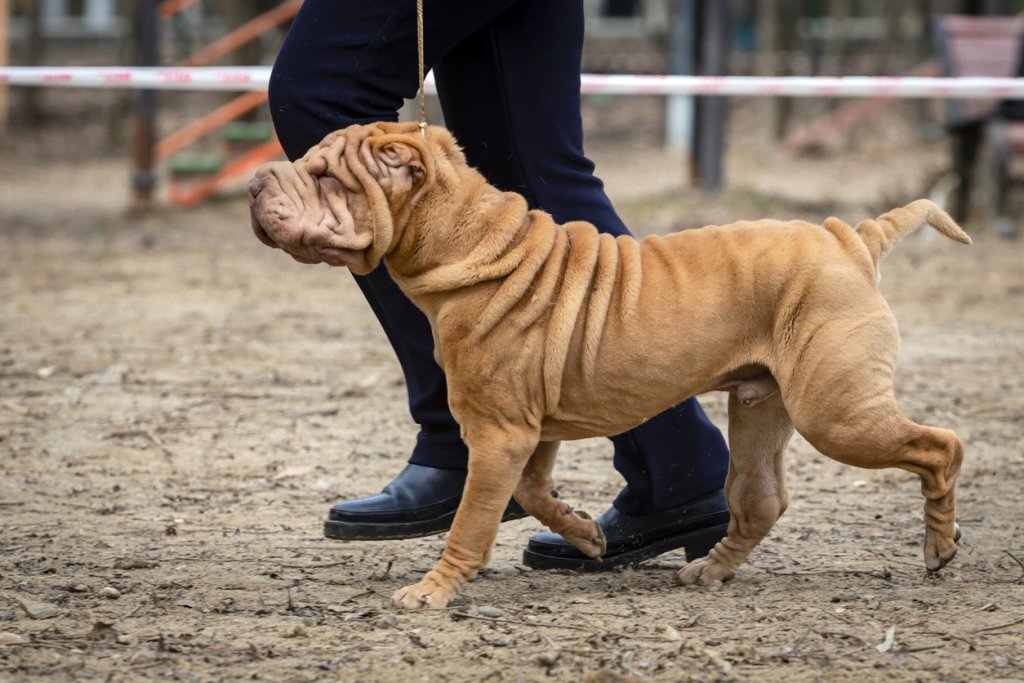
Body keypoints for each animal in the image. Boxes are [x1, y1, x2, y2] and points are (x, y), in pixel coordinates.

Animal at [247, 121, 966, 610]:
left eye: (323, 176)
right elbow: (533, 493)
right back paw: (709, 570)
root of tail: (852, 237)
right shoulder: (525, 432)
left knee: (941, 448)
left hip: (835, 411)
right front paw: (587, 535)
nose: (255, 182)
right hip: (761, 408)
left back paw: (939, 548)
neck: (469, 244)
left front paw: (434, 589)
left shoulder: (499, 434)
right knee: (762, 501)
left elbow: (472, 520)